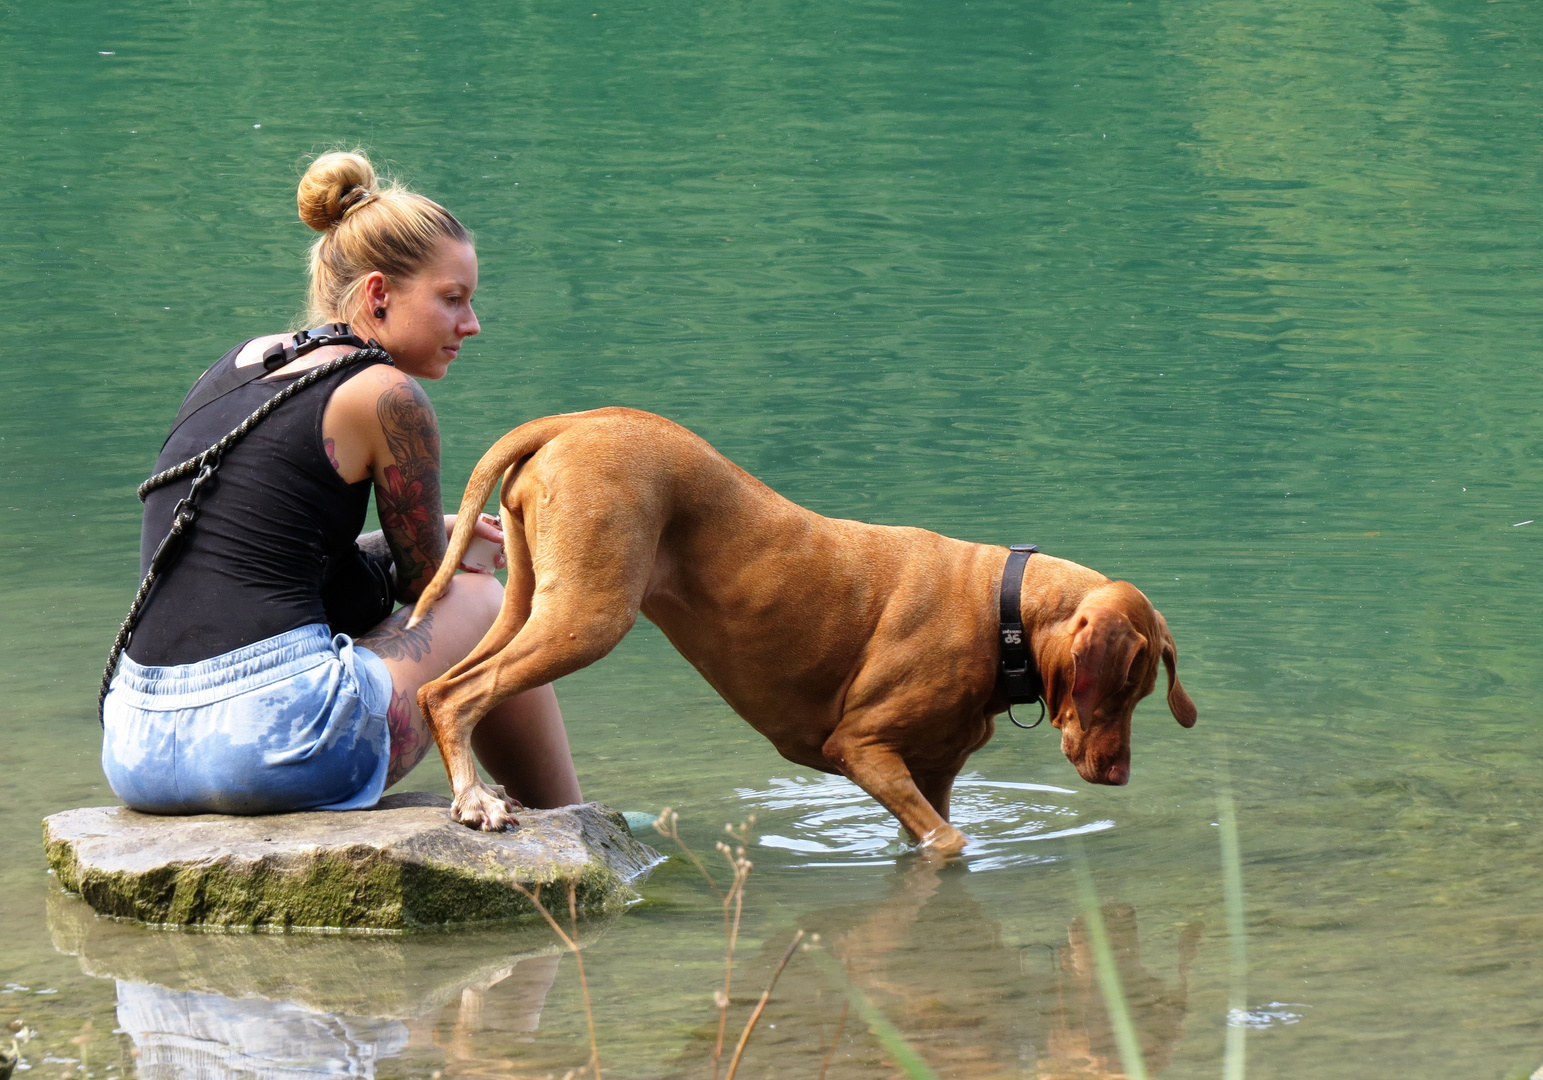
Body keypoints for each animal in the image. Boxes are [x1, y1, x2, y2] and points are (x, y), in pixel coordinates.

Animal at [416, 410, 1197, 857]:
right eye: (1123, 690)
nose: (1120, 776)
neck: (1000, 612)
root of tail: (569, 420)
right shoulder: (862, 748)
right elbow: (950, 845)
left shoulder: (928, 777)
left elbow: (926, 837)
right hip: (589, 616)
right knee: (459, 694)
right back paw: (476, 801)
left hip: (523, 602)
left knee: (439, 685)